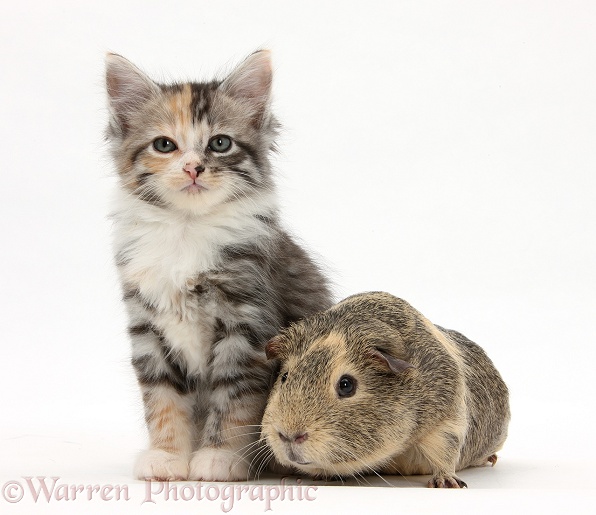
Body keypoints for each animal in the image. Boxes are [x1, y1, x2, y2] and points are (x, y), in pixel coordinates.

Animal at [105, 50, 332, 482]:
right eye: (164, 145)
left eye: (220, 143)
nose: (193, 168)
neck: (187, 229)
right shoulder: (147, 327)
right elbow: (162, 398)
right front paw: (167, 457)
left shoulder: (247, 324)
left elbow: (234, 399)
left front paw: (219, 458)